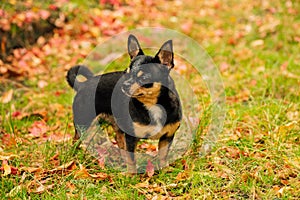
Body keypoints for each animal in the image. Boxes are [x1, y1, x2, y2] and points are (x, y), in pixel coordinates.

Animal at [67, 34, 182, 173]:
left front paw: (164, 171)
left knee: (119, 141)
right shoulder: (131, 137)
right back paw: (72, 158)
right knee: (75, 141)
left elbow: (162, 156)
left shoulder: (167, 137)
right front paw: (131, 175)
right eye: (126, 73)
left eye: (144, 78)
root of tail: (82, 85)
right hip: (83, 123)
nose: (125, 84)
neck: (153, 105)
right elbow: (132, 159)